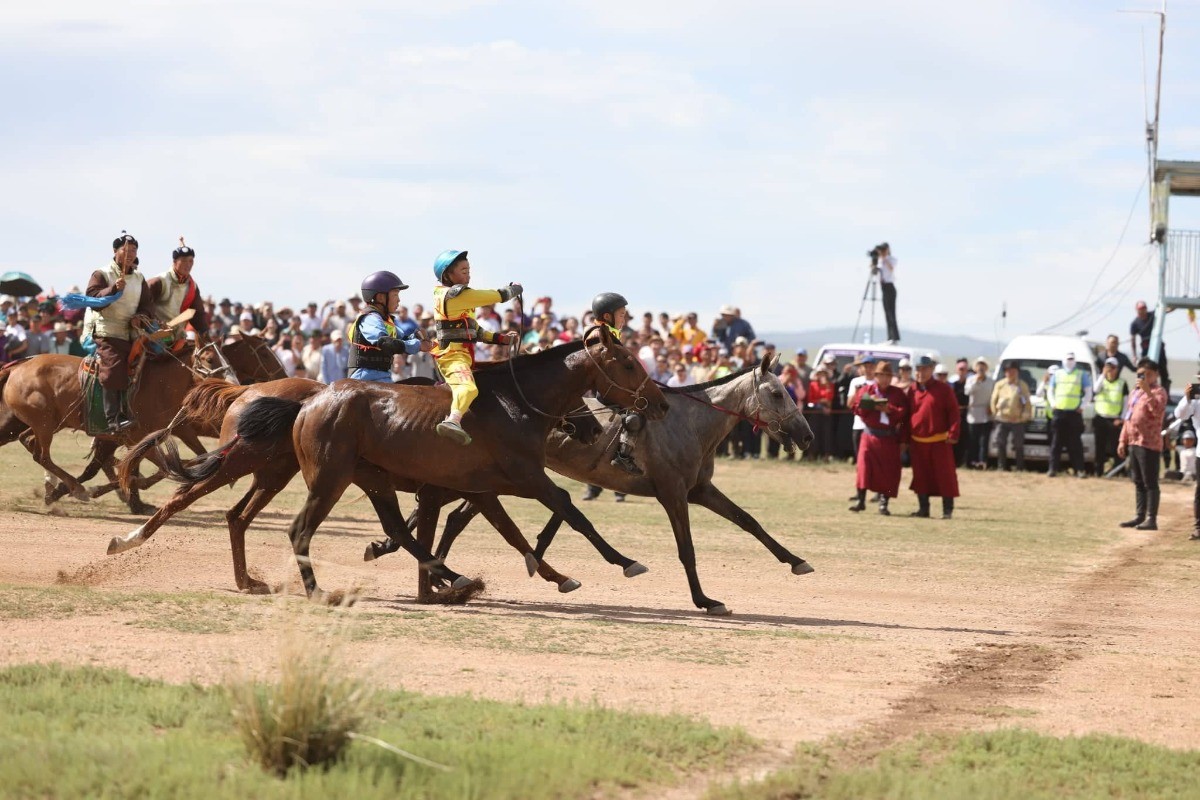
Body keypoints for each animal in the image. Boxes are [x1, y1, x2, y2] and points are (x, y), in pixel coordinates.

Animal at [231, 326, 667, 599]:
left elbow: (509, 531)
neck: (513, 402)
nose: (660, 403)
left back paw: (452, 576)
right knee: (300, 529)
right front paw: (625, 561)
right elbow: (570, 510)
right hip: (328, 479)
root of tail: (309, 403)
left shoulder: (485, 486)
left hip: (372, 479)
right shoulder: (525, 476)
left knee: (395, 528)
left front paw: (552, 573)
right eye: (629, 363)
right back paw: (316, 590)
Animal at [376, 352, 816, 618]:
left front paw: (796, 560)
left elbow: (750, 522)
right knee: (441, 508)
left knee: (453, 516)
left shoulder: (699, 492)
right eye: (777, 393)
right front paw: (705, 600)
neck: (689, 423)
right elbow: (687, 549)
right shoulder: (674, 495)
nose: (806, 434)